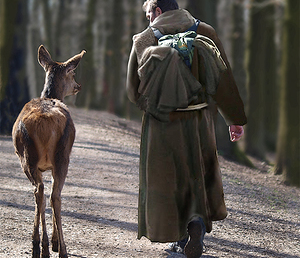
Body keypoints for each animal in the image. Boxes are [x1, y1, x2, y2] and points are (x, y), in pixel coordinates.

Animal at [12, 45, 85, 256]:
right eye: (72, 73)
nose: (78, 86)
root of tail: (45, 123)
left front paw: (50, 242)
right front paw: (54, 242)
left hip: (28, 156)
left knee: (41, 192)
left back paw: (40, 245)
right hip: (61, 155)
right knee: (52, 195)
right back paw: (59, 249)